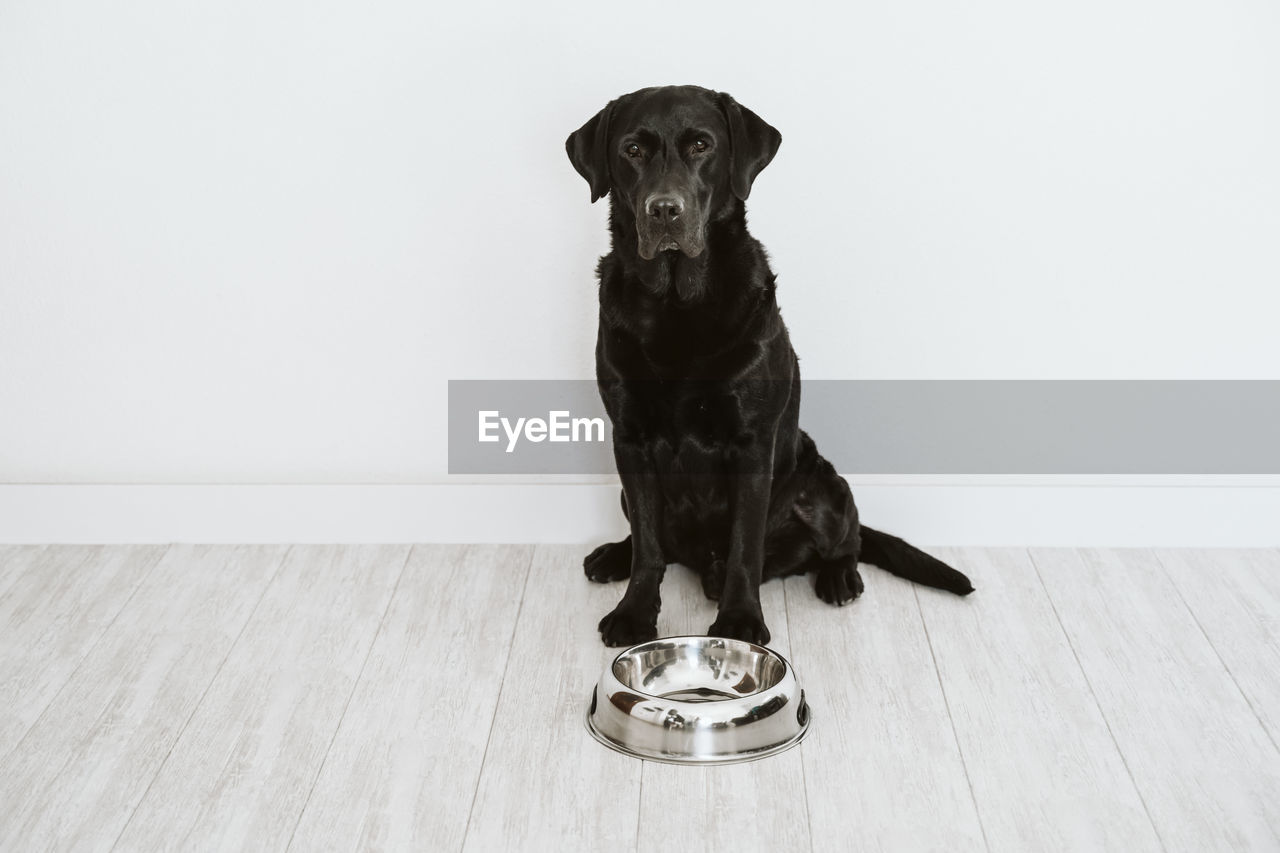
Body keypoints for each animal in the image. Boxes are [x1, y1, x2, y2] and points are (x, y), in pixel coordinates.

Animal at [565, 86, 972, 645]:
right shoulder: (629, 438)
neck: (677, 302)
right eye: (632, 151)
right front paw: (635, 613)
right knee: (651, 537)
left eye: (701, 145)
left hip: (823, 487)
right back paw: (613, 557)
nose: (664, 210)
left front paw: (738, 620)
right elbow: (648, 544)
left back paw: (838, 578)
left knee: (845, 539)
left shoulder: (752, 442)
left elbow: (745, 545)